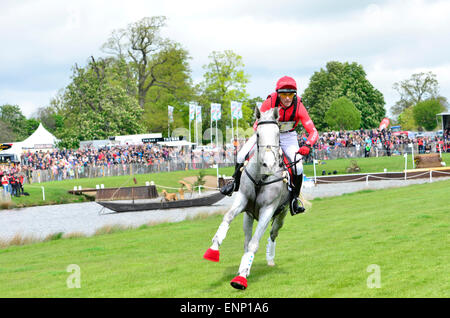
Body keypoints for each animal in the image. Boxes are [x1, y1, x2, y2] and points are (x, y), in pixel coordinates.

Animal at [203, 105, 294, 290]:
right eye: (258, 134)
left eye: (278, 134)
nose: (269, 164)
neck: (261, 177)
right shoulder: (243, 199)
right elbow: (228, 217)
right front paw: (214, 249)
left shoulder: (268, 210)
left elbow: (254, 243)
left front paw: (241, 279)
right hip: (249, 216)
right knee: (246, 240)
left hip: (281, 214)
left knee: (273, 233)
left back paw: (269, 259)